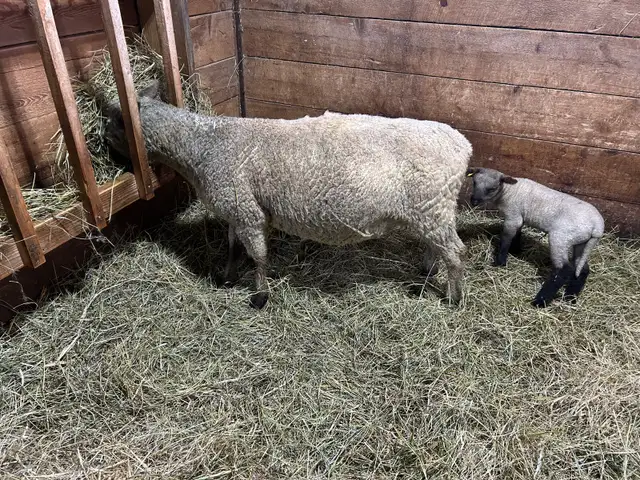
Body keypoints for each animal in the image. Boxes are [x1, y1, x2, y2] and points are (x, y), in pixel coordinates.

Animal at [104, 80, 473, 309]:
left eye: (111, 125)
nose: (107, 152)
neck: (203, 145)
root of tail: (462, 144)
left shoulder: (247, 212)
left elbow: (258, 256)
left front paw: (260, 296)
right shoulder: (237, 208)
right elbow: (233, 247)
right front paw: (226, 278)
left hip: (432, 205)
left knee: (456, 252)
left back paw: (453, 298)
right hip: (429, 211)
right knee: (436, 246)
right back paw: (426, 274)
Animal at [466, 167, 604, 307]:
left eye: (492, 188)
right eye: (474, 183)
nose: (474, 201)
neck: (507, 191)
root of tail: (597, 226)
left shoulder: (512, 217)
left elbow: (506, 239)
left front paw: (500, 262)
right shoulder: (519, 218)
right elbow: (517, 234)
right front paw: (515, 251)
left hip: (560, 238)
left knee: (563, 270)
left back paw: (540, 301)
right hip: (582, 242)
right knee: (582, 269)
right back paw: (570, 297)